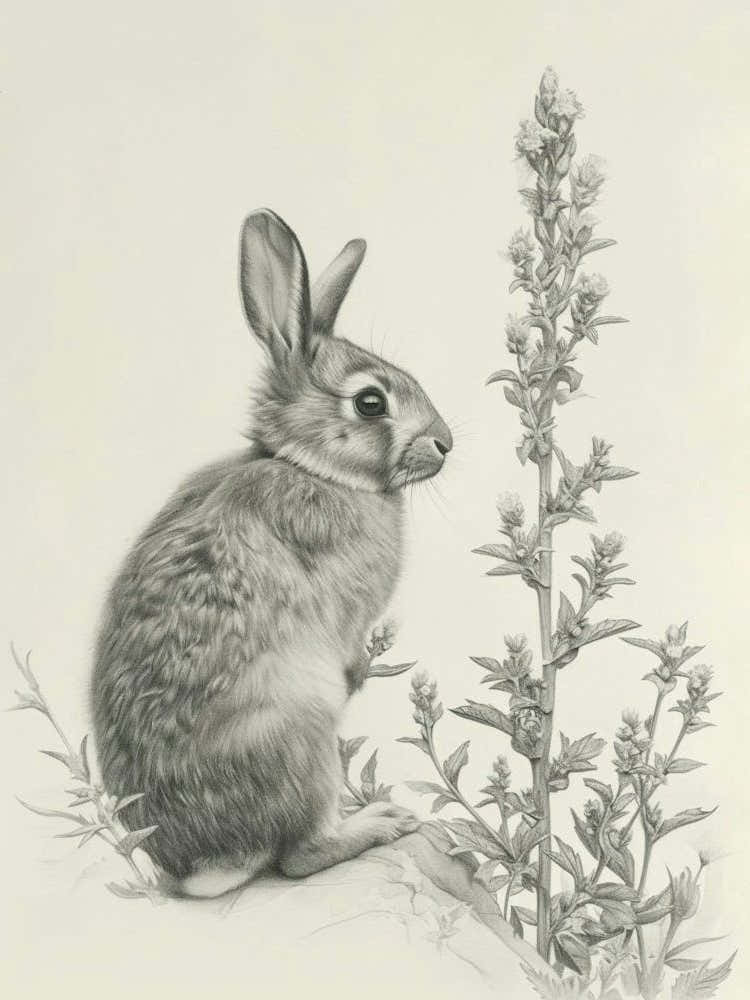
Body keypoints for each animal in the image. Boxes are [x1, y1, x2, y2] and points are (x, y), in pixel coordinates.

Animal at [91, 208, 453, 898]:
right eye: (371, 402)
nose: (446, 443)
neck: (312, 466)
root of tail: (203, 865)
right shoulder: (343, 605)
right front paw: (359, 673)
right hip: (302, 735)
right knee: (299, 856)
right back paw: (380, 822)